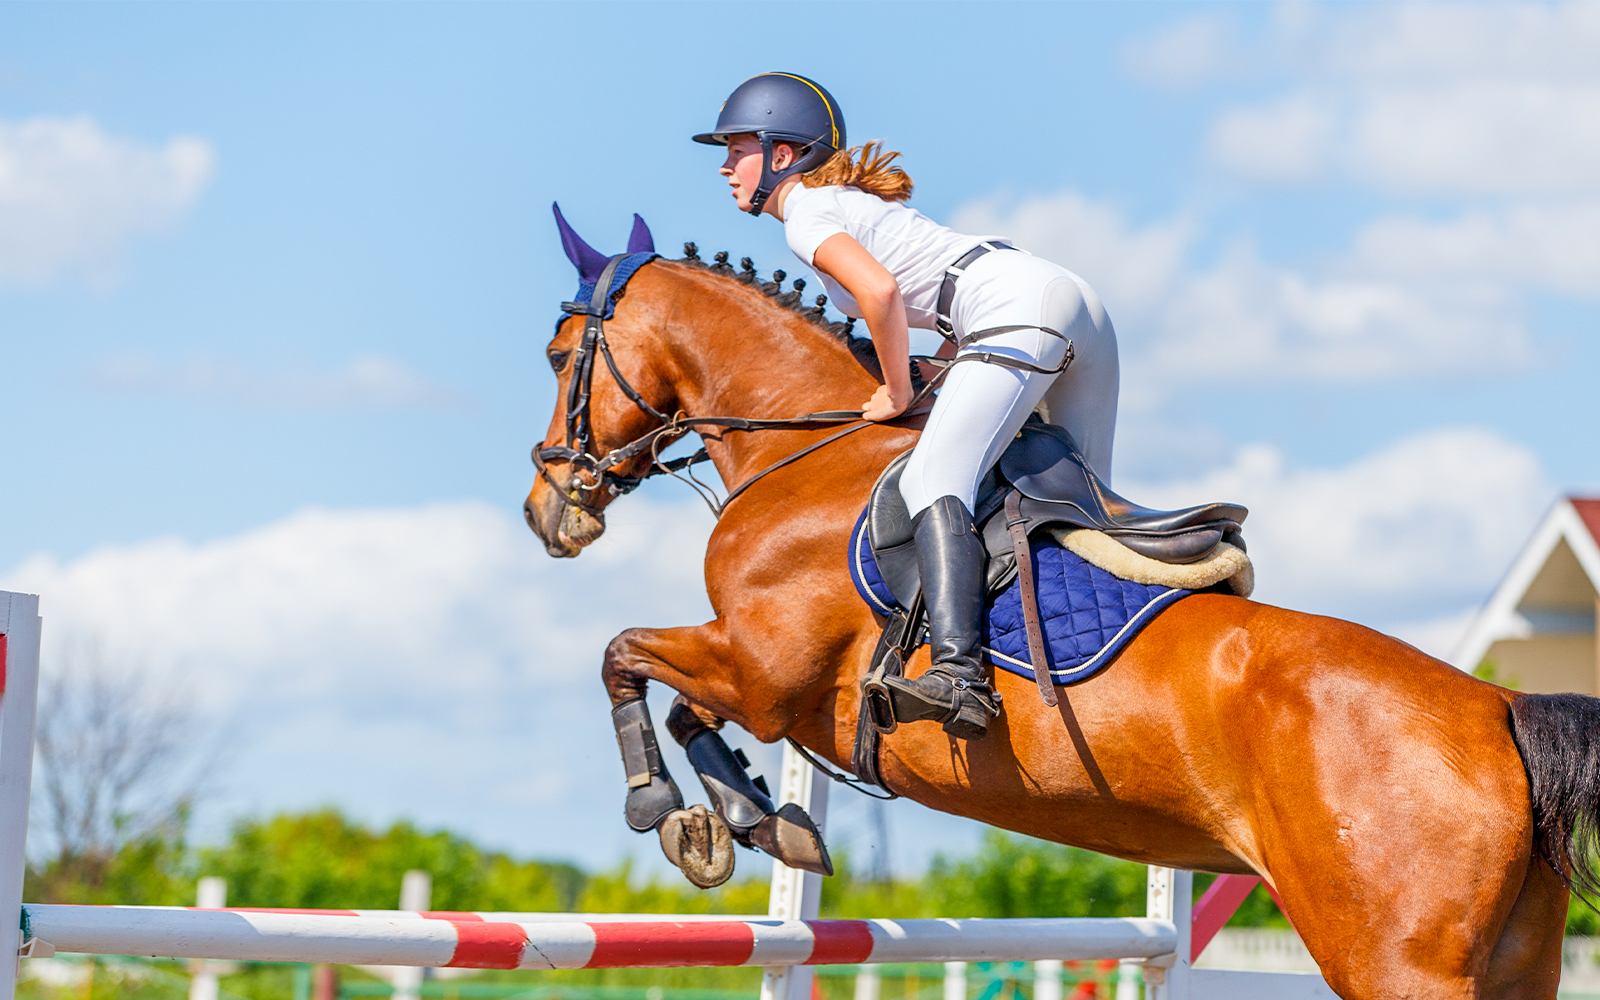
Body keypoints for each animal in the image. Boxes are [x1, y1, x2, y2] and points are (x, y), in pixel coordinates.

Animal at [523, 220, 1600, 999]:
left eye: (559, 354)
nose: (549, 509)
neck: (808, 450)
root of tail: (1499, 709)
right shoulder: (760, 680)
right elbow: (682, 705)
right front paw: (754, 822)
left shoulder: (763, 669)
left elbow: (624, 657)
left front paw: (668, 812)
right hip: (1514, 965)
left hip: (1395, 962)